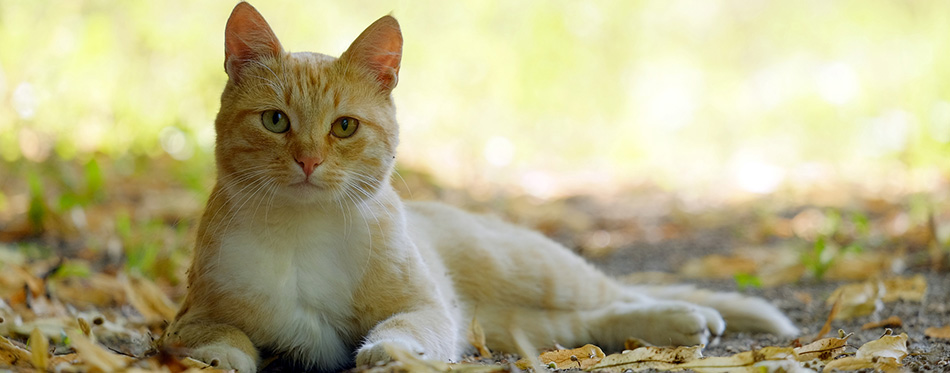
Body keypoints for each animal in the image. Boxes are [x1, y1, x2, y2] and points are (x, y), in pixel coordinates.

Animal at [160, 2, 800, 370]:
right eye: (275, 121)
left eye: (344, 127)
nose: (309, 161)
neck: (304, 230)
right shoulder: (189, 317)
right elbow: (218, 337)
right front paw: (223, 358)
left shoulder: (426, 306)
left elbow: (405, 326)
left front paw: (392, 354)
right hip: (522, 323)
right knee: (591, 322)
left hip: (535, 271)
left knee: (618, 294)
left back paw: (688, 315)